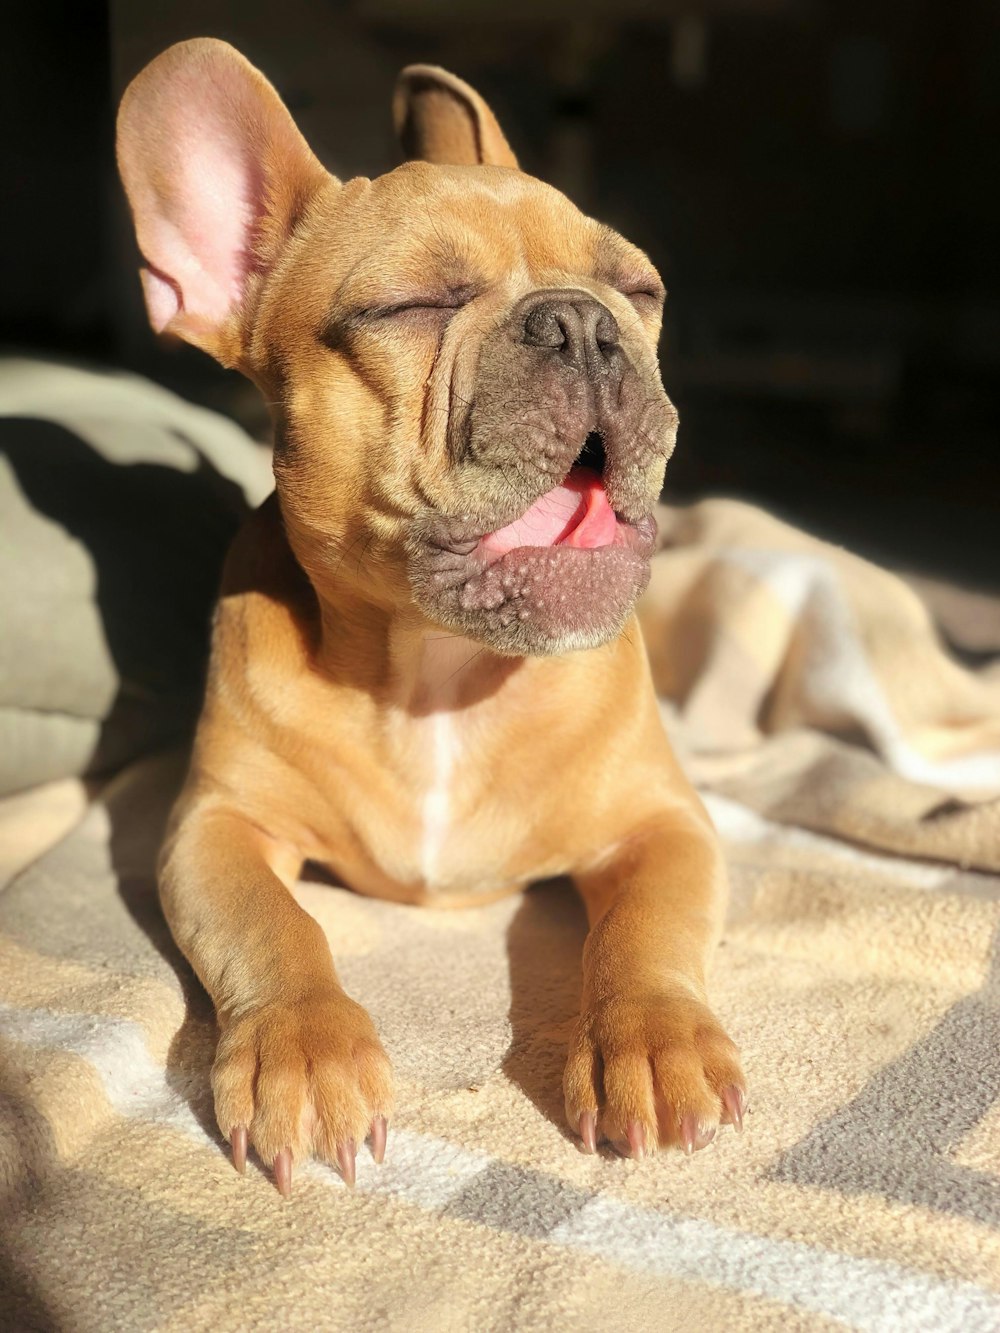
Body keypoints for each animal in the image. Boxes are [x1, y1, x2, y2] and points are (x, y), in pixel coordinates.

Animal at [115, 36, 746, 1199]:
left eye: (640, 290)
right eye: (407, 307)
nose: (583, 323)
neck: (441, 676)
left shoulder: (663, 821)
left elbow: (645, 927)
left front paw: (650, 1037)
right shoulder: (215, 825)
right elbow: (273, 924)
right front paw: (304, 1048)